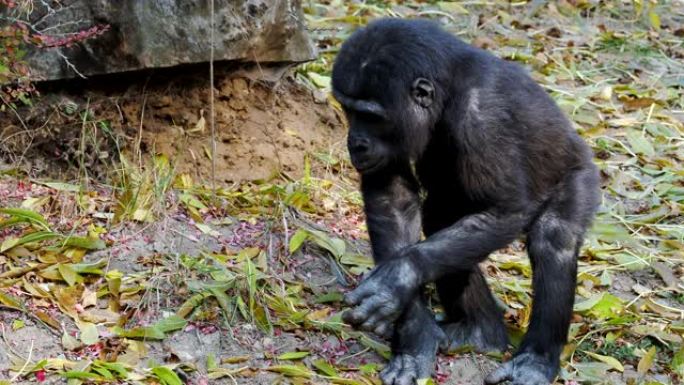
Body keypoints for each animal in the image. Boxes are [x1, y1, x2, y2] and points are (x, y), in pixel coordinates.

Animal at [334, 18, 600, 384]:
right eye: (348, 110)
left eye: (372, 117)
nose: (356, 142)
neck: (447, 92)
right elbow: (393, 197)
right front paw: (414, 337)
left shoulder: (482, 120)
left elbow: (505, 209)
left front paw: (400, 275)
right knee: (441, 219)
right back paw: (481, 332)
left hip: (581, 176)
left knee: (554, 239)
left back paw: (535, 360)